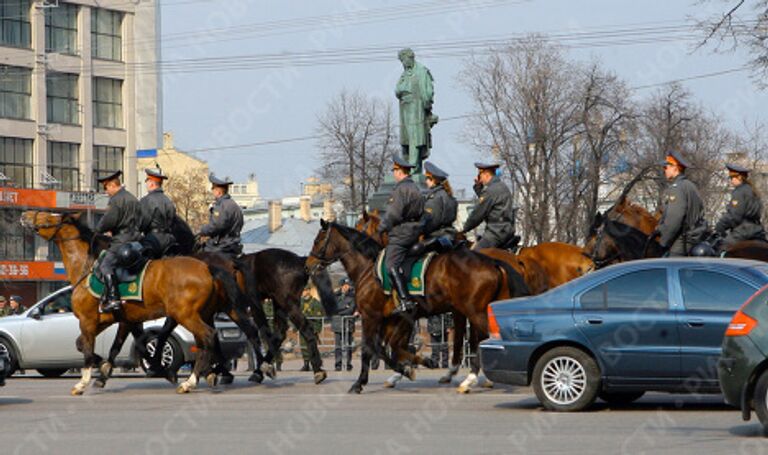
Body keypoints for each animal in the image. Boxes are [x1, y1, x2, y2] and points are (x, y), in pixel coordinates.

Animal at [21, 212, 272, 394]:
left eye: (49, 217)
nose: (25, 214)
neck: (88, 267)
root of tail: (209, 267)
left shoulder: (88, 321)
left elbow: (89, 348)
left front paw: (84, 381)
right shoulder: (123, 320)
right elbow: (113, 346)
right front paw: (105, 371)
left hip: (188, 315)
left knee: (211, 337)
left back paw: (193, 381)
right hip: (215, 310)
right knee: (235, 334)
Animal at [306, 221, 528, 396]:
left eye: (317, 240)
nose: (308, 264)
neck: (369, 270)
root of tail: (493, 261)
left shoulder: (372, 316)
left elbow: (372, 348)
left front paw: (360, 383)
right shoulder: (397, 319)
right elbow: (392, 348)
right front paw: (409, 368)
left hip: (474, 312)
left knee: (484, 339)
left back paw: (471, 379)